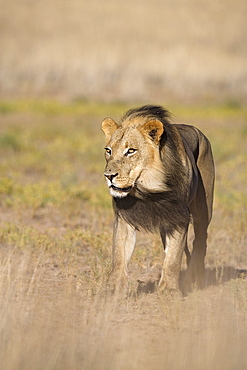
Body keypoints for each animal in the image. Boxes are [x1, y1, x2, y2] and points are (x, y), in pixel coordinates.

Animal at [101, 105, 213, 294]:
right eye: (108, 151)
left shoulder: (178, 215)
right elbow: (119, 256)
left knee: (200, 239)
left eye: (131, 151)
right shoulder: (125, 217)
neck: (148, 188)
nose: (109, 176)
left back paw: (195, 276)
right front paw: (113, 290)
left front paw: (169, 291)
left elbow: (173, 258)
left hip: (203, 210)